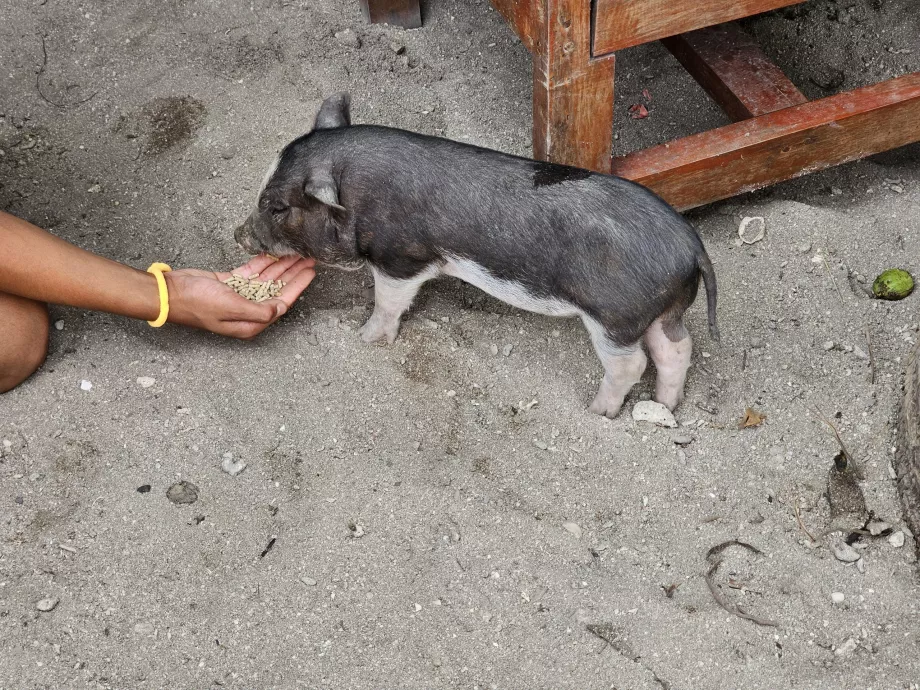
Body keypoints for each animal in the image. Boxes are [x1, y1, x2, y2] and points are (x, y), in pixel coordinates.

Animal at [235, 92, 719, 418]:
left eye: (278, 207)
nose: (239, 235)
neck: (359, 196)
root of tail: (690, 244)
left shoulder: (402, 258)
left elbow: (388, 301)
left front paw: (365, 338)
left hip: (615, 316)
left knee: (634, 361)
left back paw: (597, 412)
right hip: (664, 310)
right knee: (677, 347)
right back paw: (666, 405)